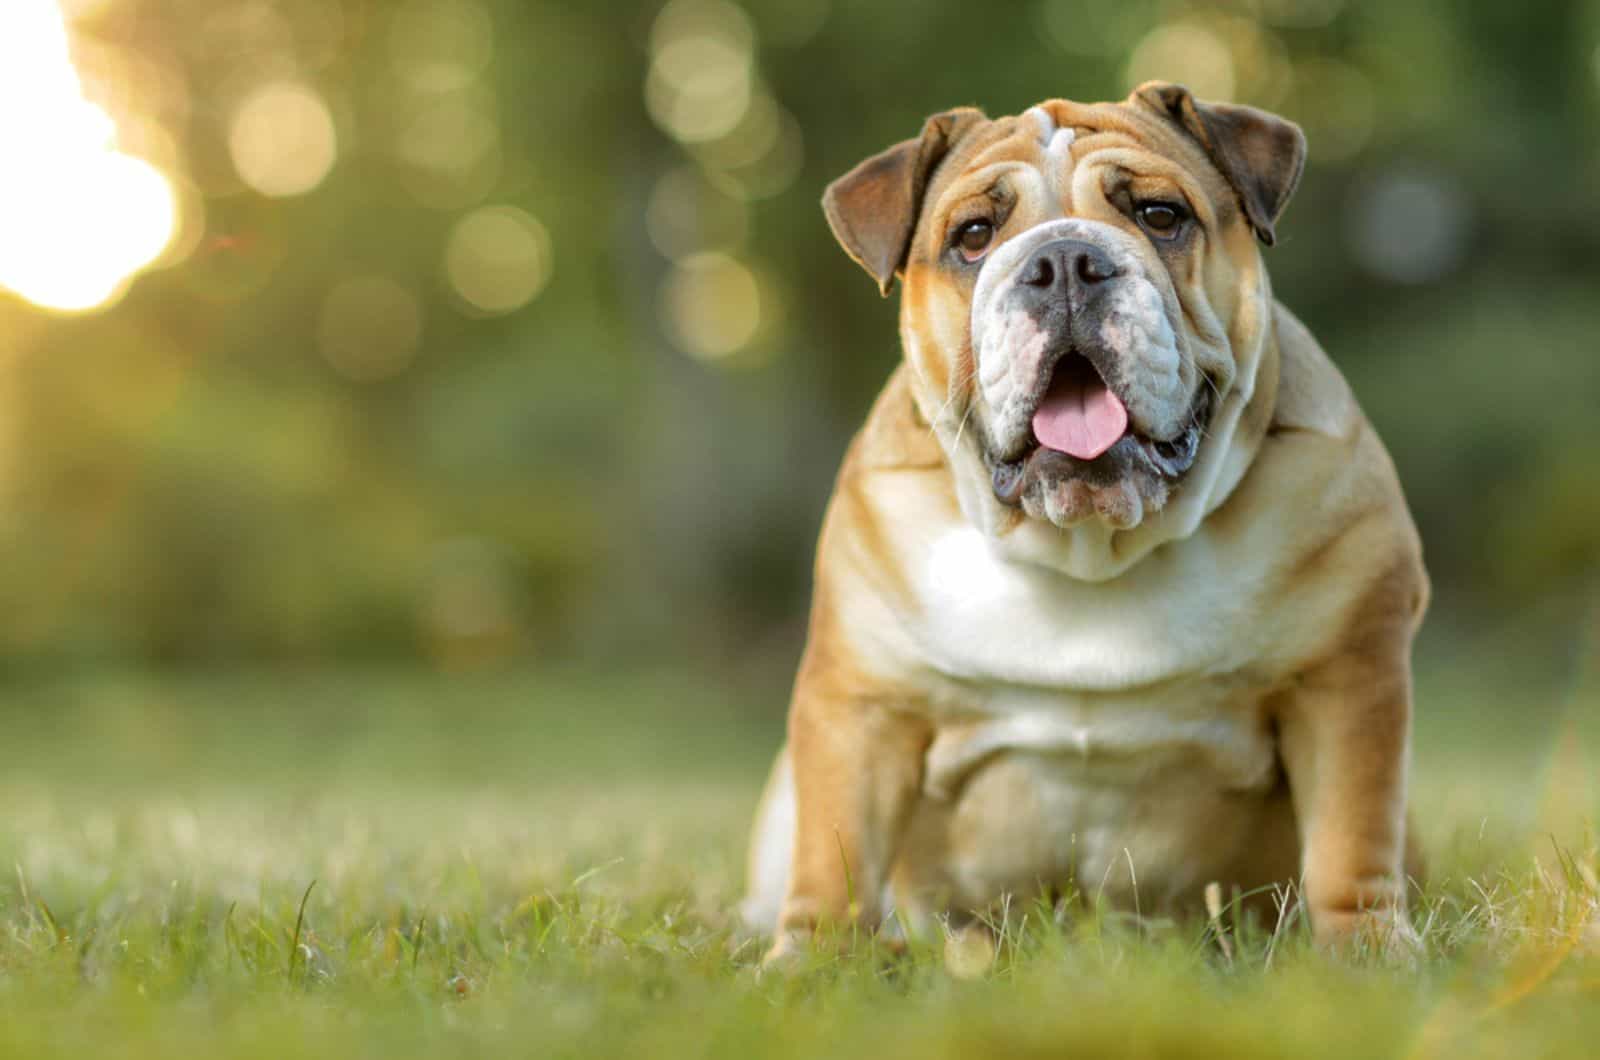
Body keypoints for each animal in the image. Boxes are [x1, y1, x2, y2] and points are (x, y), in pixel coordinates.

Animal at [736, 85, 1427, 960]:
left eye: (1162, 215)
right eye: (972, 236)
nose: (1063, 261)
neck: (1090, 548)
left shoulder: (1346, 681)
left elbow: (1350, 835)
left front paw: (1365, 951)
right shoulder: (862, 706)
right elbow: (837, 852)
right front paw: (812, 960)